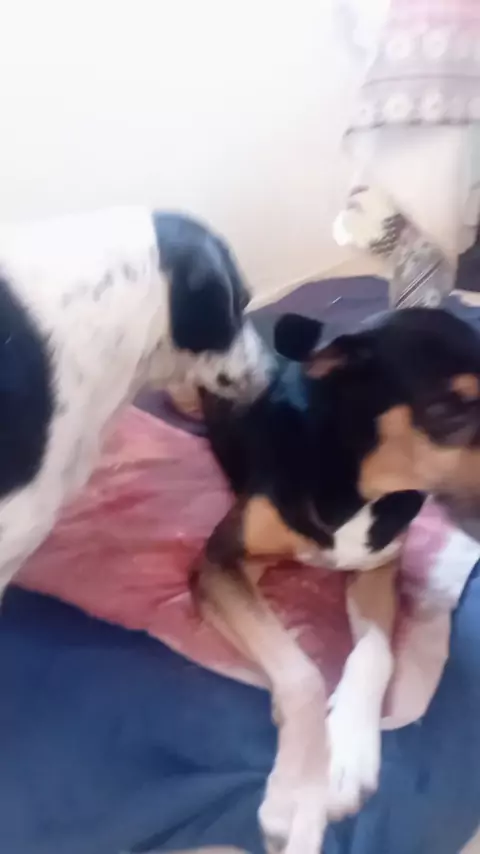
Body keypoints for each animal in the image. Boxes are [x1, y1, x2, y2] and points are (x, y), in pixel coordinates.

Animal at [193, 311, 433, 854]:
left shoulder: (376, 565)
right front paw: (291, 793)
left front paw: (346, 758)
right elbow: (300, 673)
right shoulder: (220, 562)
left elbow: (374, 653)